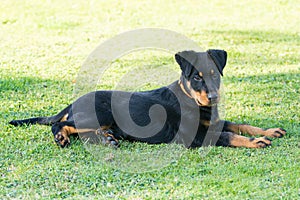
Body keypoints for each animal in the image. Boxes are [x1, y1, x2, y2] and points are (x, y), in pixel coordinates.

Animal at [8, 49, 286, 148]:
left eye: (214, 74)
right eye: (196, 77)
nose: (213, 97)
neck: (192, 101)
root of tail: (74, 102)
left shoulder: (212, 122)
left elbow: (238, 124)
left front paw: (268, 131)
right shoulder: (194, 135)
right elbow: (228, 135)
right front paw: (257, 141)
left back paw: (108, 138)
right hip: (99, 112)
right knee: (60, 123)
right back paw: (62, 137)